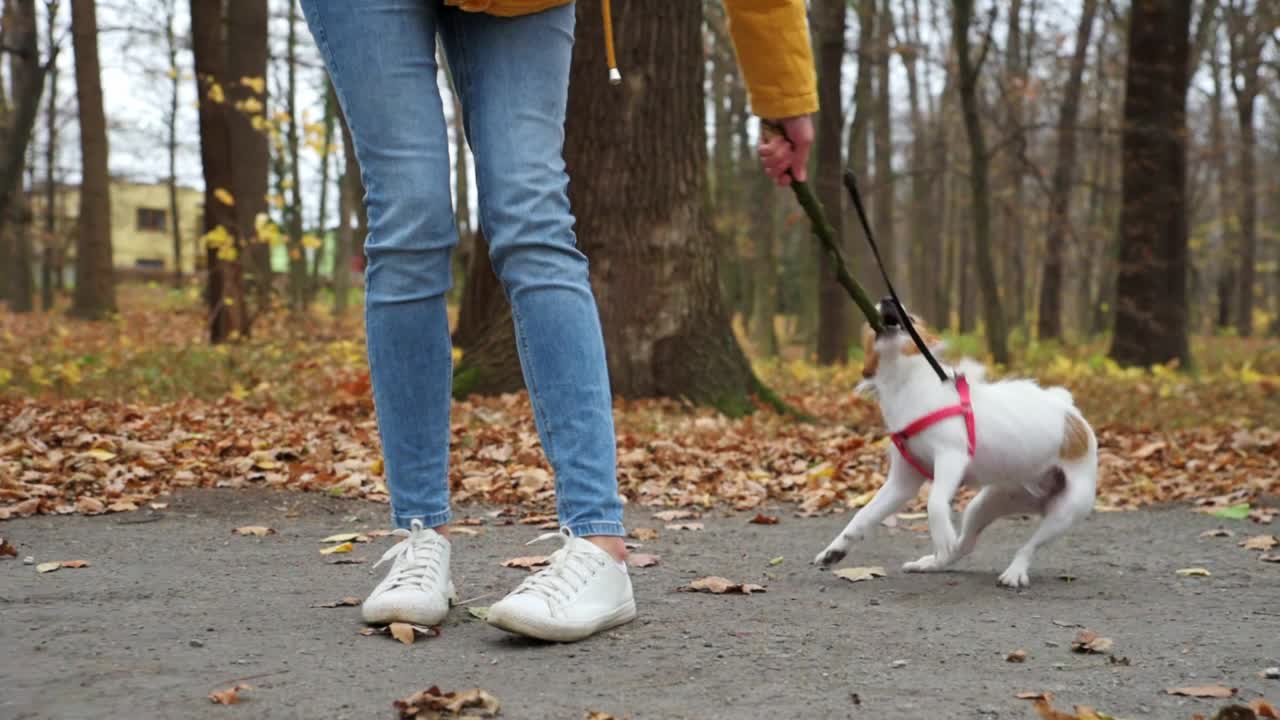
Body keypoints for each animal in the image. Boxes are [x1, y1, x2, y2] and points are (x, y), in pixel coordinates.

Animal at [814, 299, 1095, 586]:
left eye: (911, 317)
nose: (888, 300)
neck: (905, 387)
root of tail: (1071, 411)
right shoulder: (902, 482)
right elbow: (863, 515)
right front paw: (835, 550)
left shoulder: (952, 456)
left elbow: (935, 502)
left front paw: (941, 534)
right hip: (987, 504)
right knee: (965, 546)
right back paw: (933, 563)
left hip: (1066, 511)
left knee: (1029, 546)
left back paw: (1014, 572)